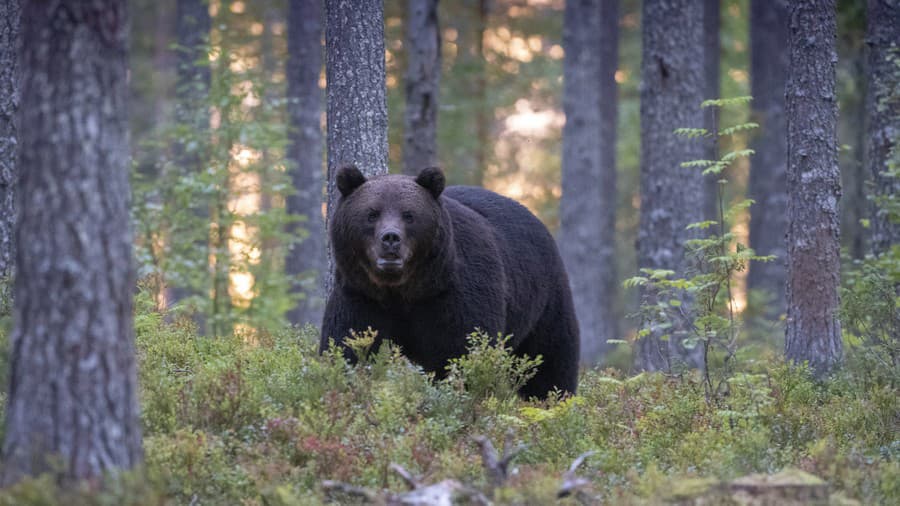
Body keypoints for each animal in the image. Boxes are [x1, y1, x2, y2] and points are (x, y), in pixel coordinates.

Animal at [320, 166, 580, 400]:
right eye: (372, 213)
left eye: (409, 215)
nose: (391, 238)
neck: (404, 290)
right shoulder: (362, 296)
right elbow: (347, 345)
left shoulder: (455, 294)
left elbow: (461, 351)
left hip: (544, 297)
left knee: (550, 357)